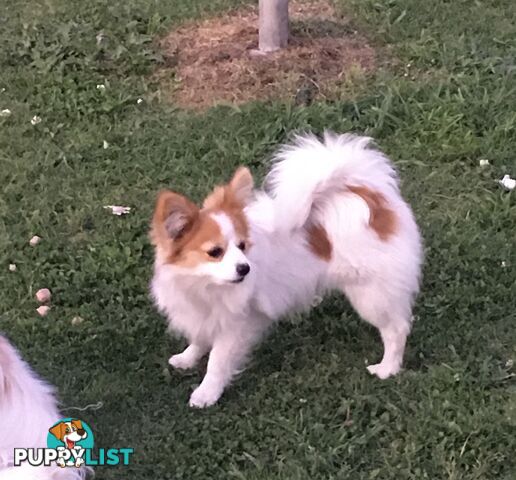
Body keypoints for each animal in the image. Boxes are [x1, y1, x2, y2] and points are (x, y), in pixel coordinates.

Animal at [150, 133, 424, 406]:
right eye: (215, 252)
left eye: (242, 246)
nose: (245, 268)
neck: (205, 285)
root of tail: (369, 195)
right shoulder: (201, 313)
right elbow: (198, 338)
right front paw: (187, 358)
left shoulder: (235, 326)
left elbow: (217, 362)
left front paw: (206, 393)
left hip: (371, 295)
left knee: (396, 329)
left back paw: (387, 368)